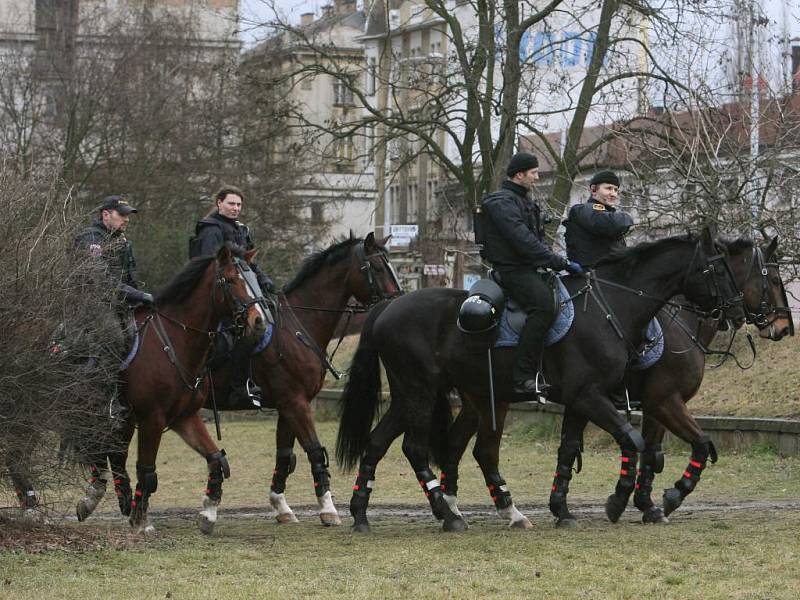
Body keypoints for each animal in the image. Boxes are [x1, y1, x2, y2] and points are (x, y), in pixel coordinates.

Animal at [73, 244, 266, 536]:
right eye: (231, 280)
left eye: (254, 279)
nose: (259, 321)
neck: (176, 341)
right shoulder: (152, 419)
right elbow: (147, 471)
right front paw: (141, 521)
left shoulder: (184, 418)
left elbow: (216, 460)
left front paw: (208, 513)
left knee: (113, 455)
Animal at [202, 233, 398, 524]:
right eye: (377, 267)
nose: (399, 301)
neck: (298, 328)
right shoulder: (295, 403)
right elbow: (315, 450)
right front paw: (328, 508)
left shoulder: (288, 406)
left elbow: (284, 455)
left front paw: (281, 506)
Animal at [336, 227, 744, 532]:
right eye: (718, 269)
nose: (738, 312)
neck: (610, 307)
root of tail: (387, 307)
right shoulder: (596, 396)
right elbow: (634, 440)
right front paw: (619, 500)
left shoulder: (584, 399)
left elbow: (572, 449)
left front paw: (563, 509)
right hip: (421, 391)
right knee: (416, 449)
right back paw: (448, 514)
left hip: (415, 395)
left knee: (379, 443)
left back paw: (361, 513)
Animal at [444, 237, 792, 528]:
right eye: (774, 280)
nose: (784, 326)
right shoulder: (663, 400)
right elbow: (698, 443)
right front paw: (667, 497)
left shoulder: (650, 406)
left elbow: (651, 451)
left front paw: (647, 504)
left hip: (479, 399)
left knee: (457, 443)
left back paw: (453, 506)